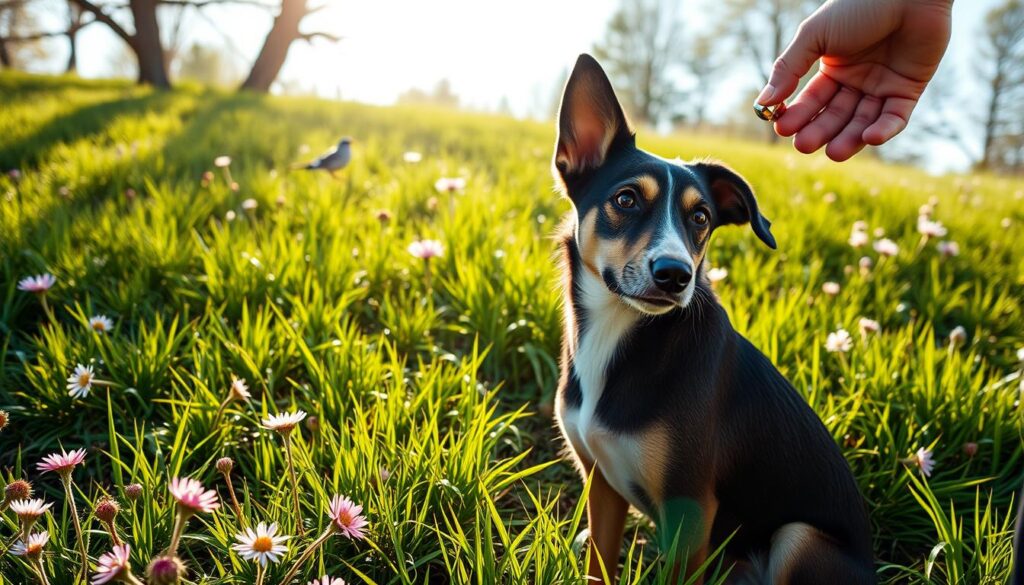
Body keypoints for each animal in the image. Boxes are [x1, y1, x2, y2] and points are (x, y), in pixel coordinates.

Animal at [552, 54, 872, 585]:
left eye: (700, 217)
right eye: (625, 199)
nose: (675, 275)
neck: (619, 332)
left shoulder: (690, 506)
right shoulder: (603, 484)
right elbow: (601, 561)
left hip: (797, 539)